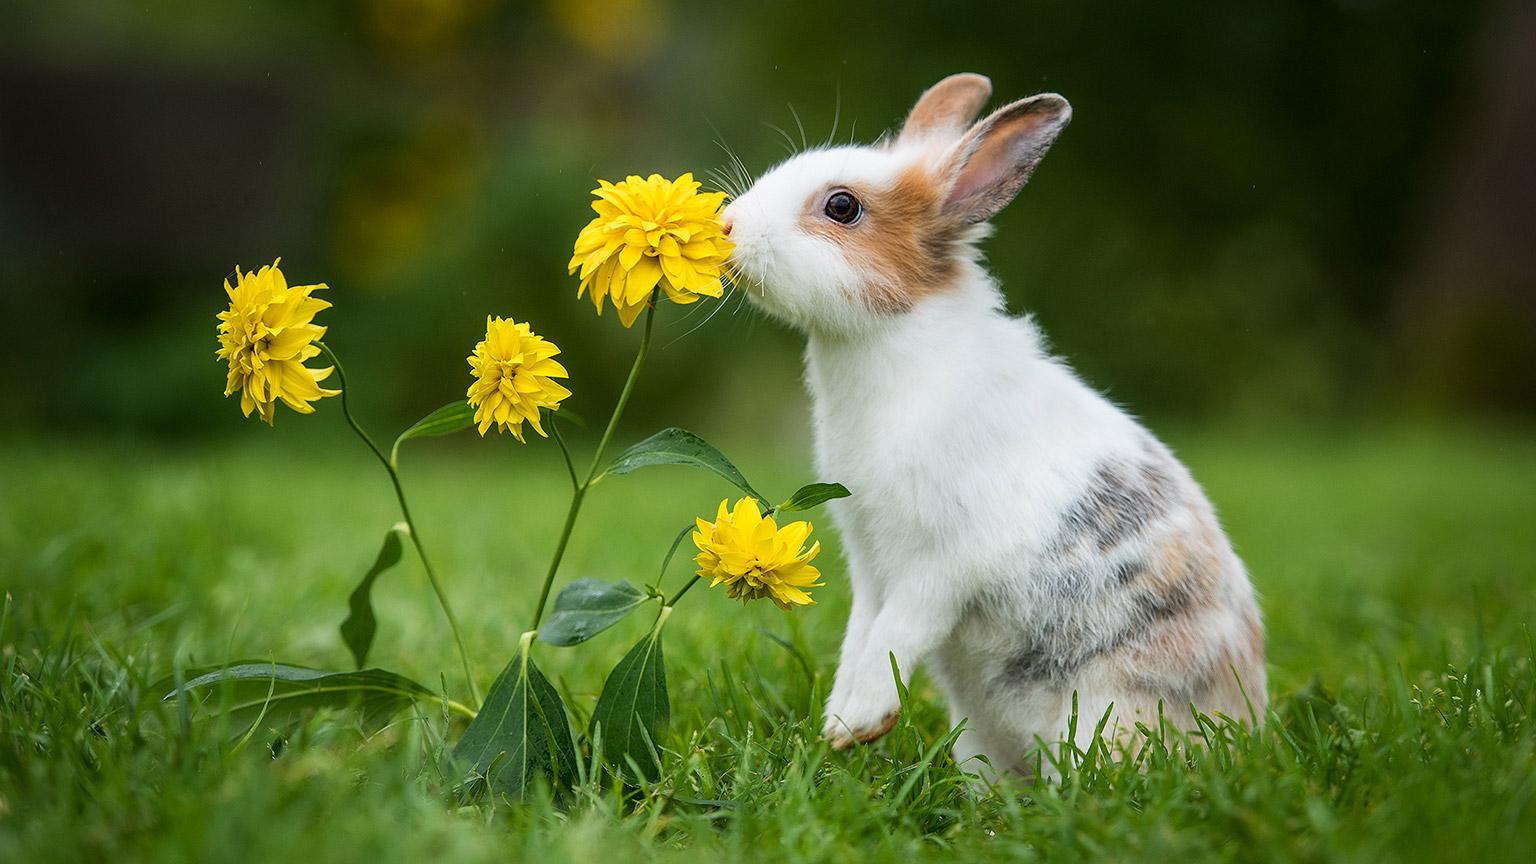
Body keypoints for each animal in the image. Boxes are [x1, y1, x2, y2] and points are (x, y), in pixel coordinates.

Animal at [718, 72, 1271, 774]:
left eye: (841, 207)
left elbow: (898, 631)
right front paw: (842, 724)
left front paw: (856, 722)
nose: (727, 226)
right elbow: (862, 632)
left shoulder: (940, 561)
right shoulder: (869, 560)